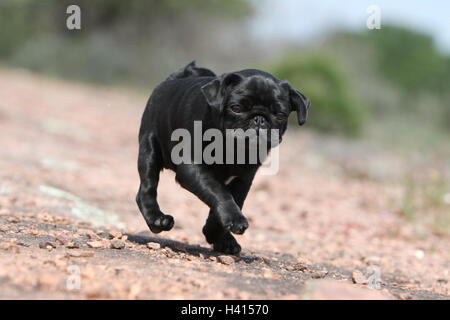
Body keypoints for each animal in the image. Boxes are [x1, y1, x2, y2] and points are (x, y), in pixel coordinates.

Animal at [137, 61, 310, 254]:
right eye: (236, 108)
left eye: (280, 115)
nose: (259, 118)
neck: (231, 148)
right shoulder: (193, 169)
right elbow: (219, 192)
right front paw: (232, 220)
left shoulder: (243, 179)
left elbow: (231, 199)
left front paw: (216, 233)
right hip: (149, 151)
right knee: (147, 188)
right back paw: (157, 219)